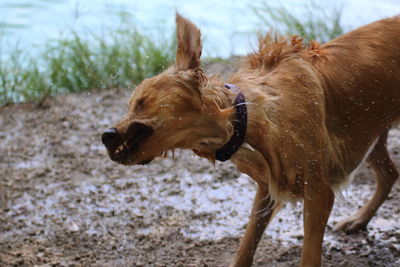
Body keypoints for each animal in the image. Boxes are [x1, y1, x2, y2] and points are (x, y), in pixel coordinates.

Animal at [103, 14, 400, 267]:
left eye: (141, 103)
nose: (105, 136)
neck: (246, 120)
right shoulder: (267, 188)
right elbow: (247, 244)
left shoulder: (318, 192)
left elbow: (308, 255)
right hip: (370, 133)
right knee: (389, 173)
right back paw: (358, 220)